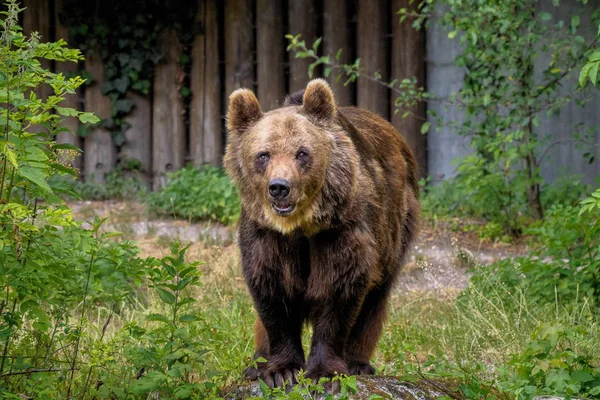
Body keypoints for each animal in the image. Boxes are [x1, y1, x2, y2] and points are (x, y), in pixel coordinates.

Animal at [223, 78, 420, 388]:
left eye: (302, 153)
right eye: (263, 155)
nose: (279, 187)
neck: (301, 226)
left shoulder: (341, 230)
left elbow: (339, 289)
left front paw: (325, 372)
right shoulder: (266, 236)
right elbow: (271, 291)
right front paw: (281, 369)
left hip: (395, 225)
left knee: (374, 300)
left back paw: (358, 361)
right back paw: (257, 362)